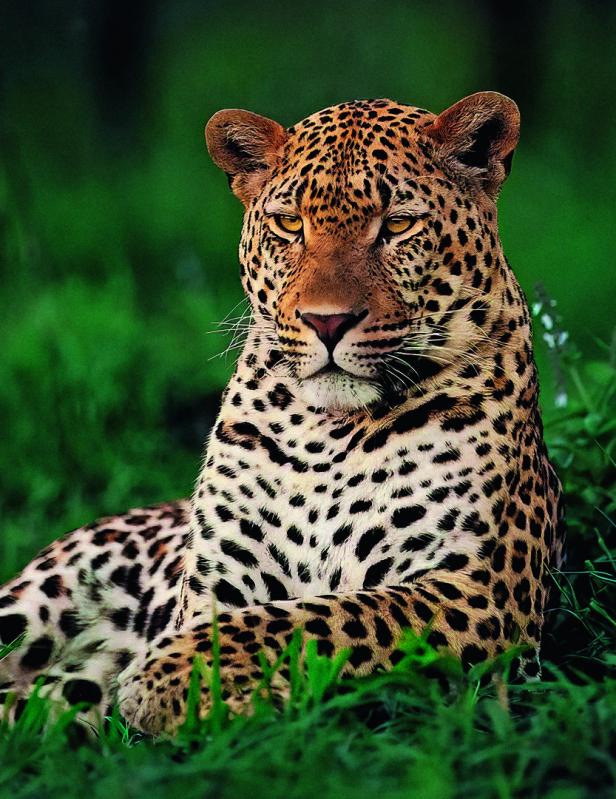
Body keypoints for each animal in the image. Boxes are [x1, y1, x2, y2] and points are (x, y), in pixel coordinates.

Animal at [0, 91, 565, 735]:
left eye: (397, 226)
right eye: (291, 225)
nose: (327, 321)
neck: (325, 432)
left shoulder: (480, 590)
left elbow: (326, 617)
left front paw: (162, 683)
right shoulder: (218, 581)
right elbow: (259, 621)